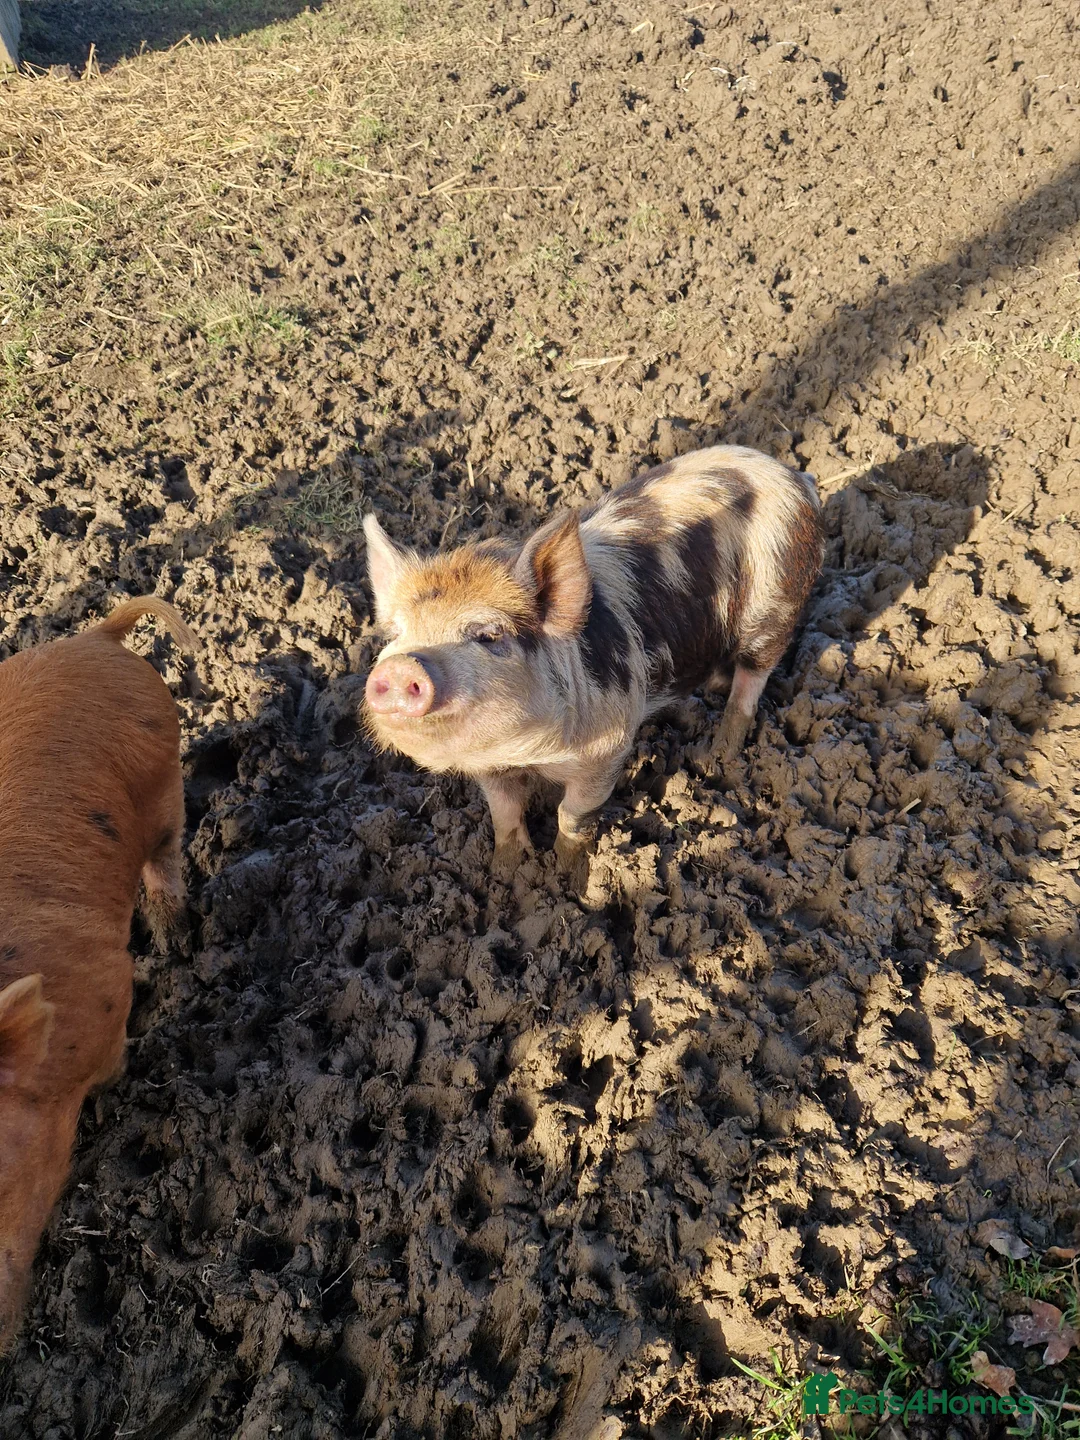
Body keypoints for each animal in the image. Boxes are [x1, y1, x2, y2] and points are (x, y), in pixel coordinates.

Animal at [362, 444, 823, 864]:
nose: (402, 665)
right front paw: (504, 874)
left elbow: (573, 814)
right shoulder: (490, 768)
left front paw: (567, 876)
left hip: (775, 608)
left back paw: (717, 758)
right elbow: (504, 813)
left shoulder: (609, 748)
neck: (530, 752)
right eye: (395, 634)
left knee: (750, 684)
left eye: (489, 635)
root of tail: (796, 478)